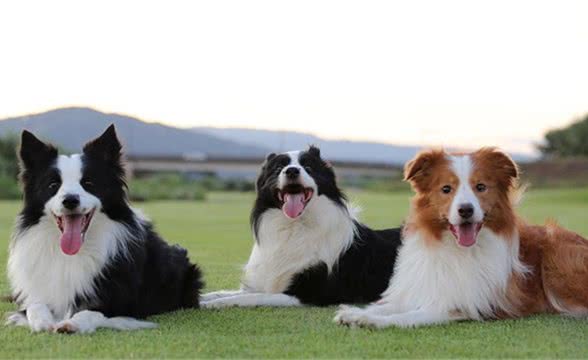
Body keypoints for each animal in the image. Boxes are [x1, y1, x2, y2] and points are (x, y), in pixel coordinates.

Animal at [5, 125, 204, 334]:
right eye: (53, 185)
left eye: (88, 183)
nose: (70, 200)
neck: (74, 252)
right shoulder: (36, 293)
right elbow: (34, 306)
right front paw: (42, 322)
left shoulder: (125, 303)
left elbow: (91, 312)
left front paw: (71, 323)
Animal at [201, 145, 400, 308]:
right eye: (278, 169)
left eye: (309, 168)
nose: (291, 171)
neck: (293, 226)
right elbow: (222, 293)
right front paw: (202, 297)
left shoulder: (307, 294)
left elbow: (244, 298)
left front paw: (209, 304)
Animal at [336, 147, 588, 330]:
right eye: (446, 189)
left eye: (481, 187)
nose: (466, 210)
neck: (455, 248)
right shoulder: (424, 286)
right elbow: (387, 306)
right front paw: (355, 313)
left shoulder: (458, 304)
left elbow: (406, 317)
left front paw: (372, 321)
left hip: (558, 260)